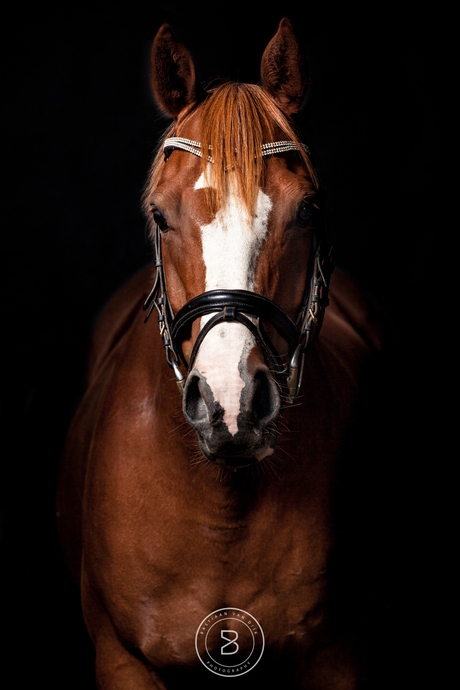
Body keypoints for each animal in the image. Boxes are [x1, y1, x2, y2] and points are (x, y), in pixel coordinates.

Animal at [56, 18, 388, 684]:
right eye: (159, 215)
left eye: (307, 210)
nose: (232, 404)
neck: (222, 510)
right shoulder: (122, 660)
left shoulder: (339, 660)